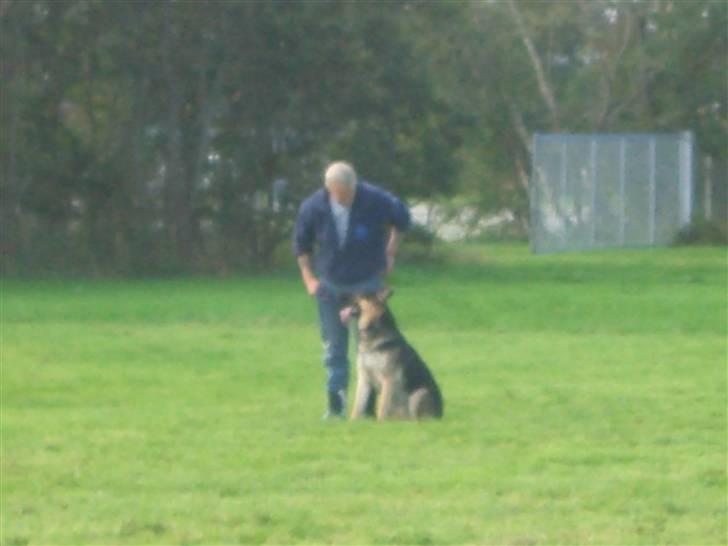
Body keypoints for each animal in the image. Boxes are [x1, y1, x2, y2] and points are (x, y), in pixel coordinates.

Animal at [346, 286, 444, 418]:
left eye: (361, 295)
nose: (341, 296)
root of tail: (440, 416)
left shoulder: (388, 380)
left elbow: (382, 409)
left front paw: (380, 422)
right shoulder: (364, 379)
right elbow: (357, 408)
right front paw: (352, 421)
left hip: (419, 394)